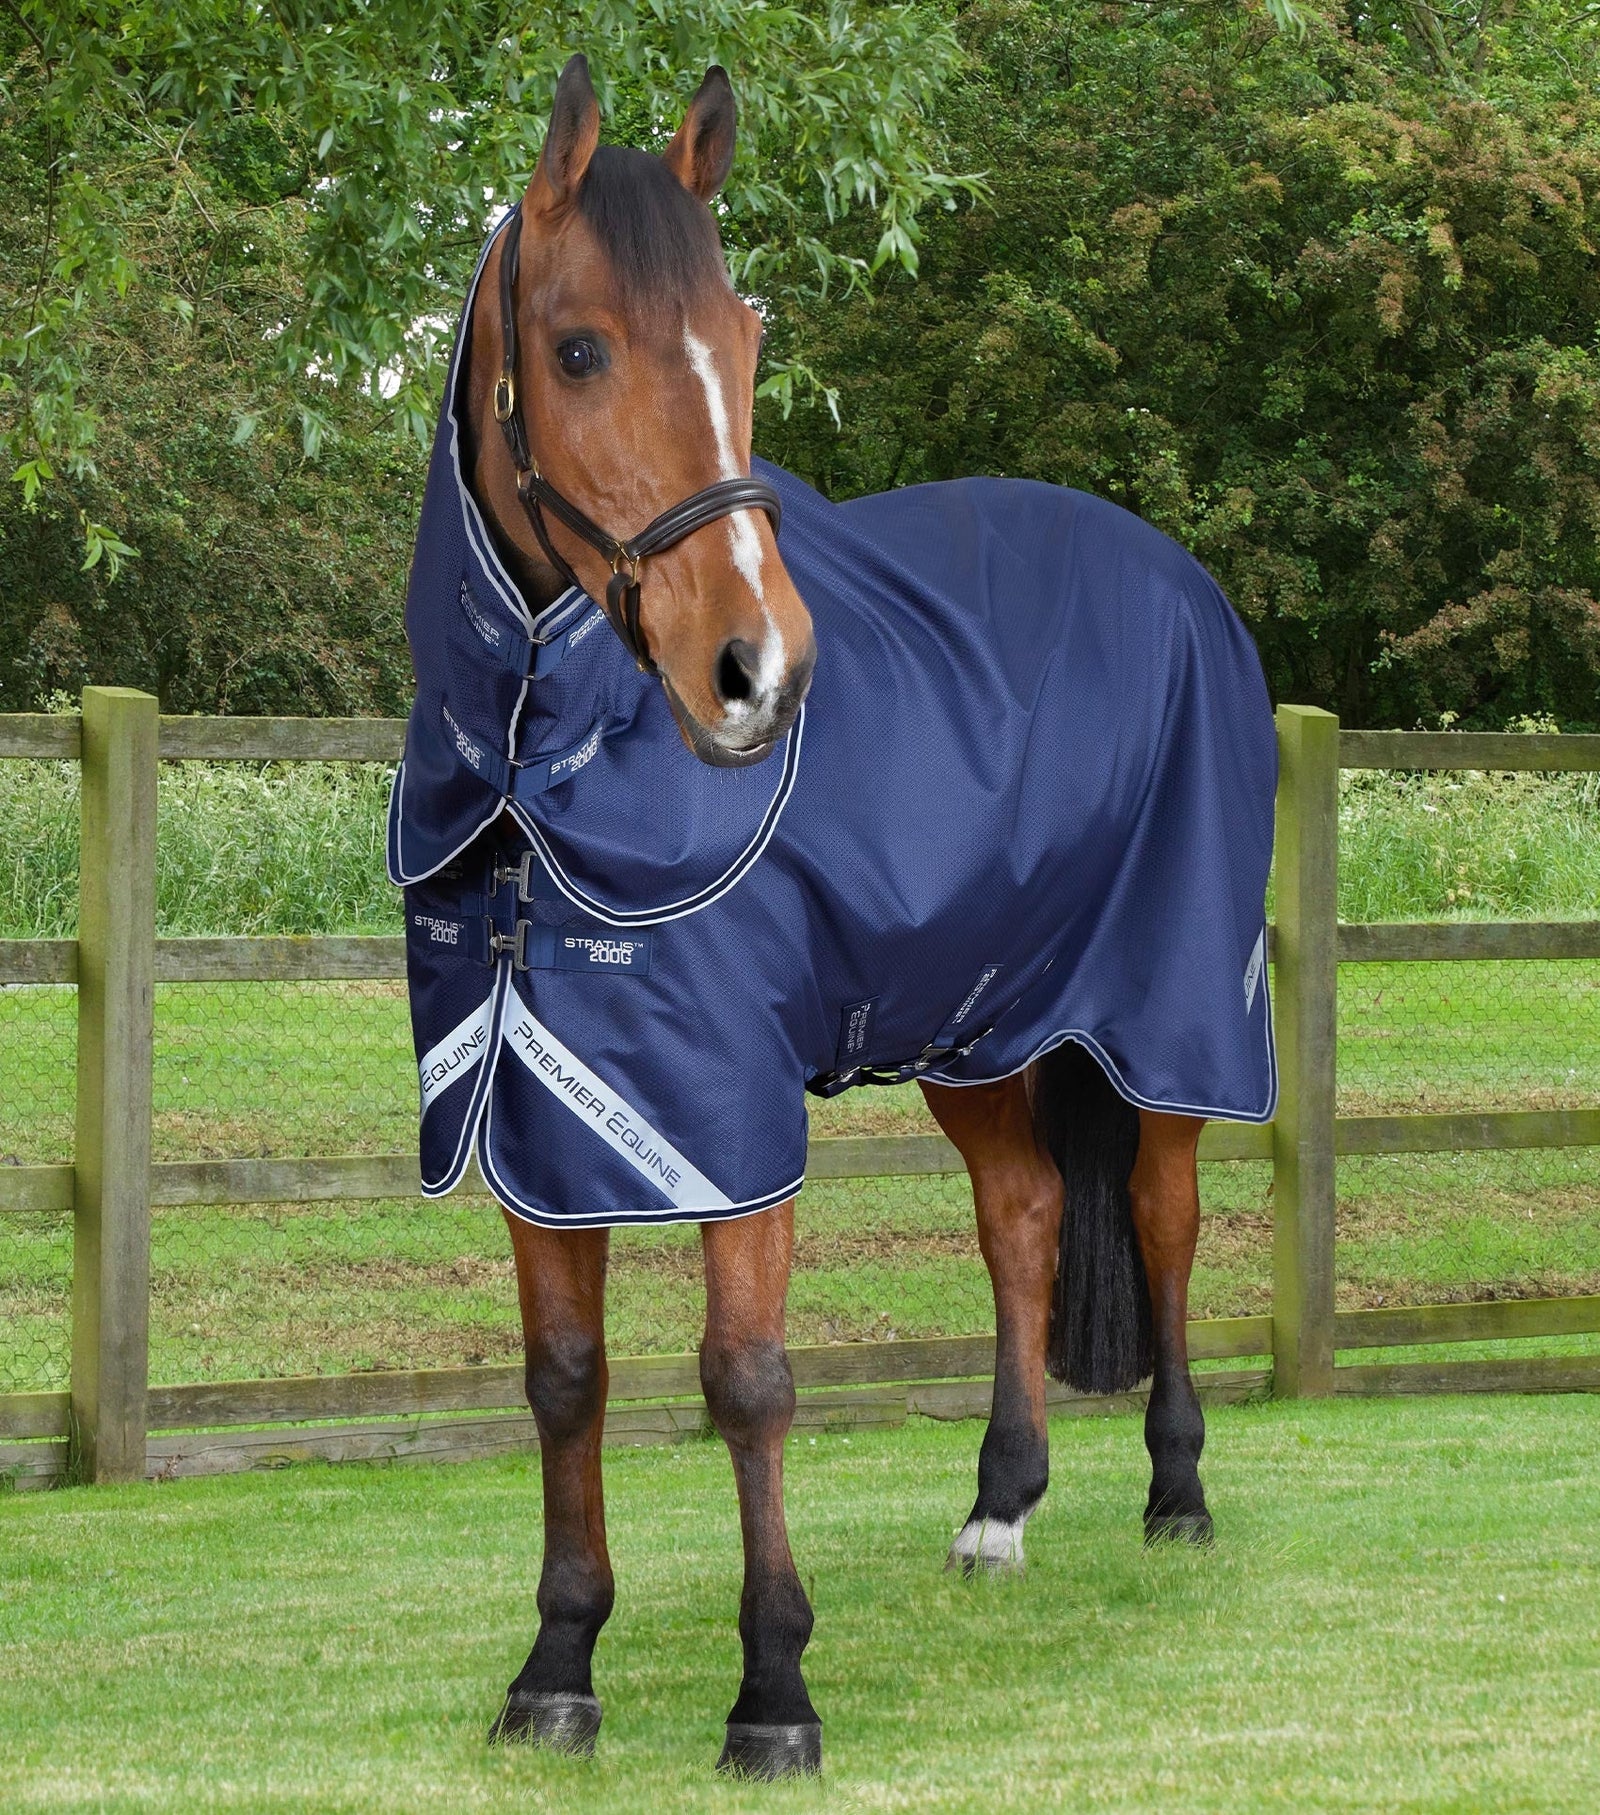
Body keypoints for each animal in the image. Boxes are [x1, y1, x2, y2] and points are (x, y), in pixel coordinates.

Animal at [389, 54, 1277, 1780]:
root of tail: (1183, 582)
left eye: (744, 344)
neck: (542, 764)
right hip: (980, 1029)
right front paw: (557, 1665)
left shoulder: (726, 1109)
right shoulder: (538, 1104)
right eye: (580, 346)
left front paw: (774, 1691)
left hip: (1168, 1016)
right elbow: (564, 1379)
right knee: (1024, 1217)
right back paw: (1000, 1508)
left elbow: (745, 1379)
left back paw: (1182, 1491)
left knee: (1161, 1213)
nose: (761, 670)